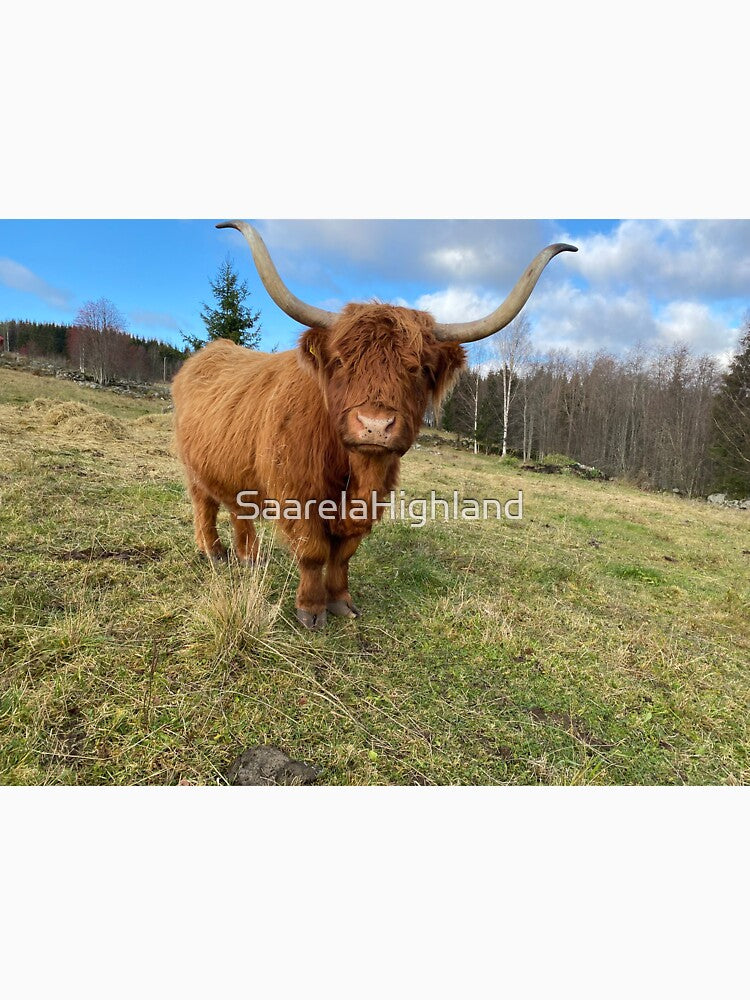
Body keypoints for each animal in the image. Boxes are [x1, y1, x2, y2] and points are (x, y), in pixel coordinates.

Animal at [172, 221, 576, 629]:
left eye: (419, 369)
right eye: (340, 362)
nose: (375, 425)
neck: (353, 472)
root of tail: (210, 352)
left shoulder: (373, 499)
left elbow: (343, 554)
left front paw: (341, 602)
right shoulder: (296, 494)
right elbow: (314, 552)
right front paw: (311, 611)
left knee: (237, 509)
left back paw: (250, 558)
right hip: (193, 467)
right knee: (204, 505)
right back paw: (214, 552)